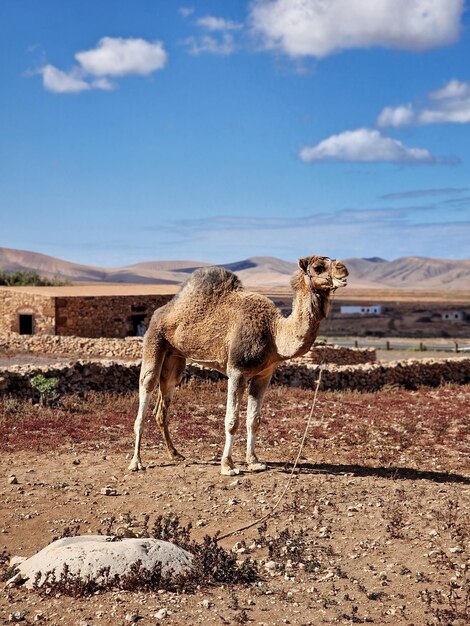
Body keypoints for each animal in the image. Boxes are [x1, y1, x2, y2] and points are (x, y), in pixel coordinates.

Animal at [129, 254, 348, 472]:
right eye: (318, 267)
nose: (343, 269)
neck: (274, 332)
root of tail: (161, 311)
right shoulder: (237, 371)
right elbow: (232, 421)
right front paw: (228, 465)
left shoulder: (264, 375)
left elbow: (254, 420)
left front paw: (254, 461)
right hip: (154, 341)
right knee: (146, 388)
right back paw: (136, 462)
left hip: (174, 358)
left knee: (163, 405)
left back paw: (175, 453)